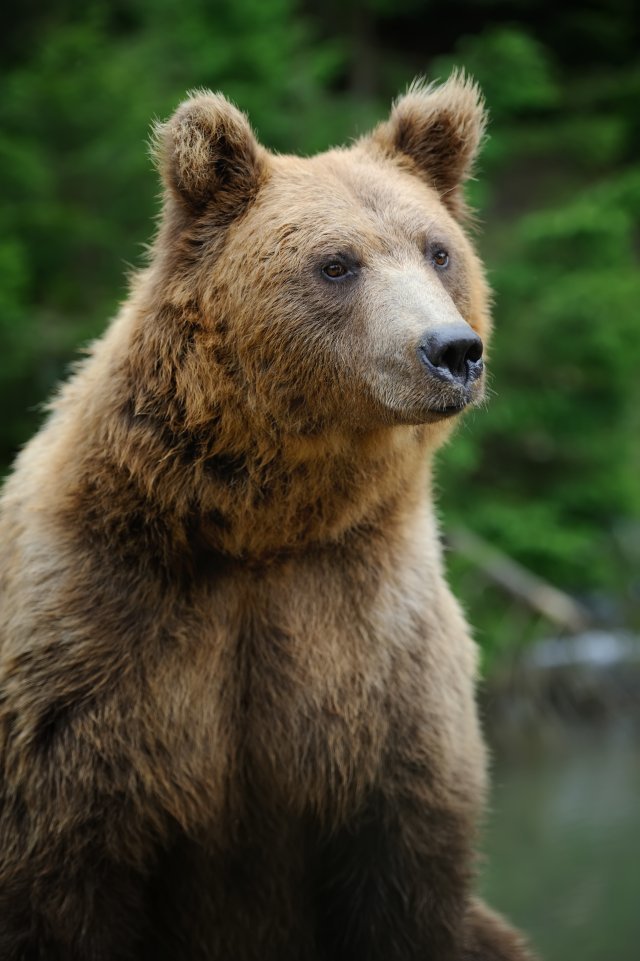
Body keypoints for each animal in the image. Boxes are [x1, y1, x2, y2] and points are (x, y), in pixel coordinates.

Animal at [0, 71, 536, 956]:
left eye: (437, 248)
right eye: (336, 262)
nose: (452, 350)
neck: (261, 528)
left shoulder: (374, 656)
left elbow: (407, 868)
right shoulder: (89, 655)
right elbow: (61, 879)